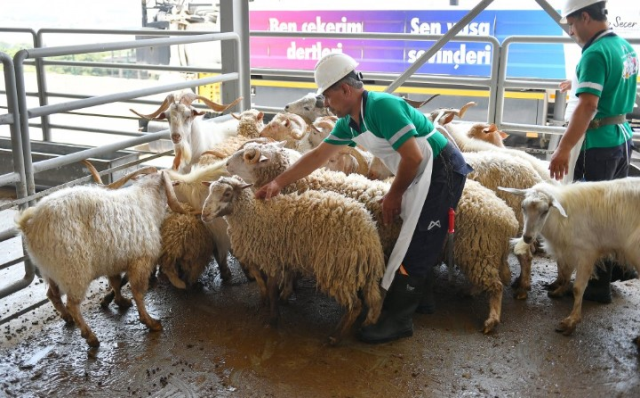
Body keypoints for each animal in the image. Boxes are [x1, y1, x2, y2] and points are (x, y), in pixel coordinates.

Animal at [14, 169, 185, 346]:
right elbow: (138, 292)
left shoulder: (113, 262)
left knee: (52, 294)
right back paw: (90, 336)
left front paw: (120, 301)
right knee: (72, 304)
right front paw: (150, 322)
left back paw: (67, 318)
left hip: (50, 271)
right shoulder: (140, 261)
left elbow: (116, 283)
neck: (147, 201)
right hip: (73, 270)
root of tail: (30, 224)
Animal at [201, 176, 384, 344]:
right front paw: (264, 302)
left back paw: (336, 336)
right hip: (358, 269)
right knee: (374, 300)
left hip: (338, 269)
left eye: (227, 193)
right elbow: (261, 283)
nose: (204, 214)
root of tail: (370, 233)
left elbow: (272, 289)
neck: (253, 216)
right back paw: (365, 324)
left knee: (356, 305)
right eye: (209, 191)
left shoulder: (271, 259)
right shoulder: (256, 258)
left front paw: (273, 319)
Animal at [500, 178, 640, 338]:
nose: (527, 238)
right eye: (523, 207)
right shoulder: (569, 251)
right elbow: (565, 272)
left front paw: (571, 321)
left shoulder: (587, 253)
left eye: (545, 211)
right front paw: (559, 291)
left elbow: (578, 288)